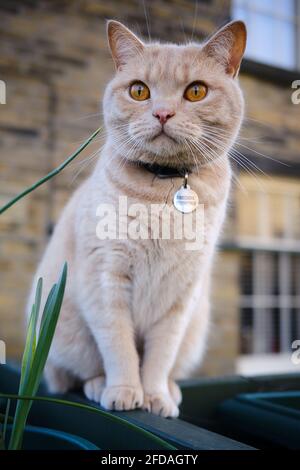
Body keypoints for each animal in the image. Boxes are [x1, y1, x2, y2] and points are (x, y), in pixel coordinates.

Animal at [27, 18, 246, 416]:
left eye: (196, 92)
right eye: (139, 91)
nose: (162, 113)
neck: (165, 191)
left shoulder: (181, 297)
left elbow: (159, 356)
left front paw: (156, 397)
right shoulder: (105, 280)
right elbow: (120, 347)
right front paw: (126, 391)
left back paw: (171, 390)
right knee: (70, 375)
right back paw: (99, 385)